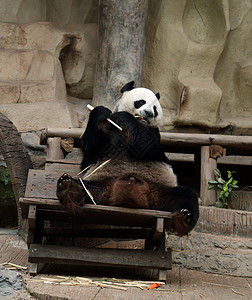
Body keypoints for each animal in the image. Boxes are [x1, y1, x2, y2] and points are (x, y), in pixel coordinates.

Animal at [56, 81, 199, 236]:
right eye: (141, 102)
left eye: (155, 109)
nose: (149, 114)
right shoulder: (108, 131)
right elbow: (90, 154)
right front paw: (101, 112)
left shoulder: (154, 134)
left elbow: (148, 147)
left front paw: (126, 118)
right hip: (100, 186)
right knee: (84, 187)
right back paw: (69, 188)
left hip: (162, 191)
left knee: (187, 196)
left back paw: (184, 219)